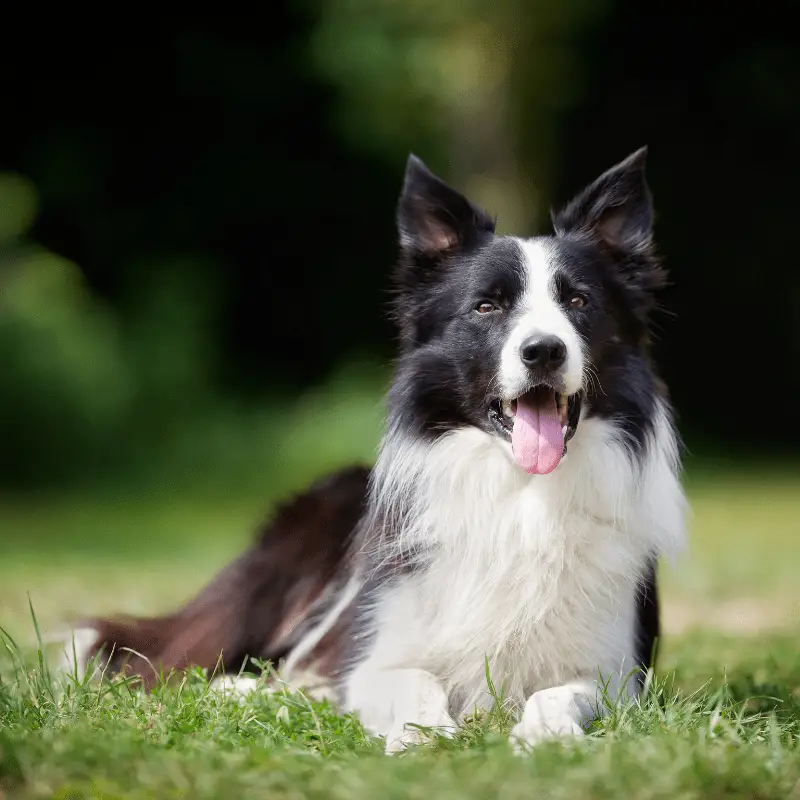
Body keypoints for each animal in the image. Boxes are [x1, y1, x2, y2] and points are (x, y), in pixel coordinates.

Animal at [65, 148, 684, 752]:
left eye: (578, 301)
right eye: (487, 307)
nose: (544, 351)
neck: (520, 492)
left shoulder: (617, 672)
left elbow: (560, 693)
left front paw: (546, 734)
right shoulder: (378, 653)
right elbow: (414, 682)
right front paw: (425, 737)